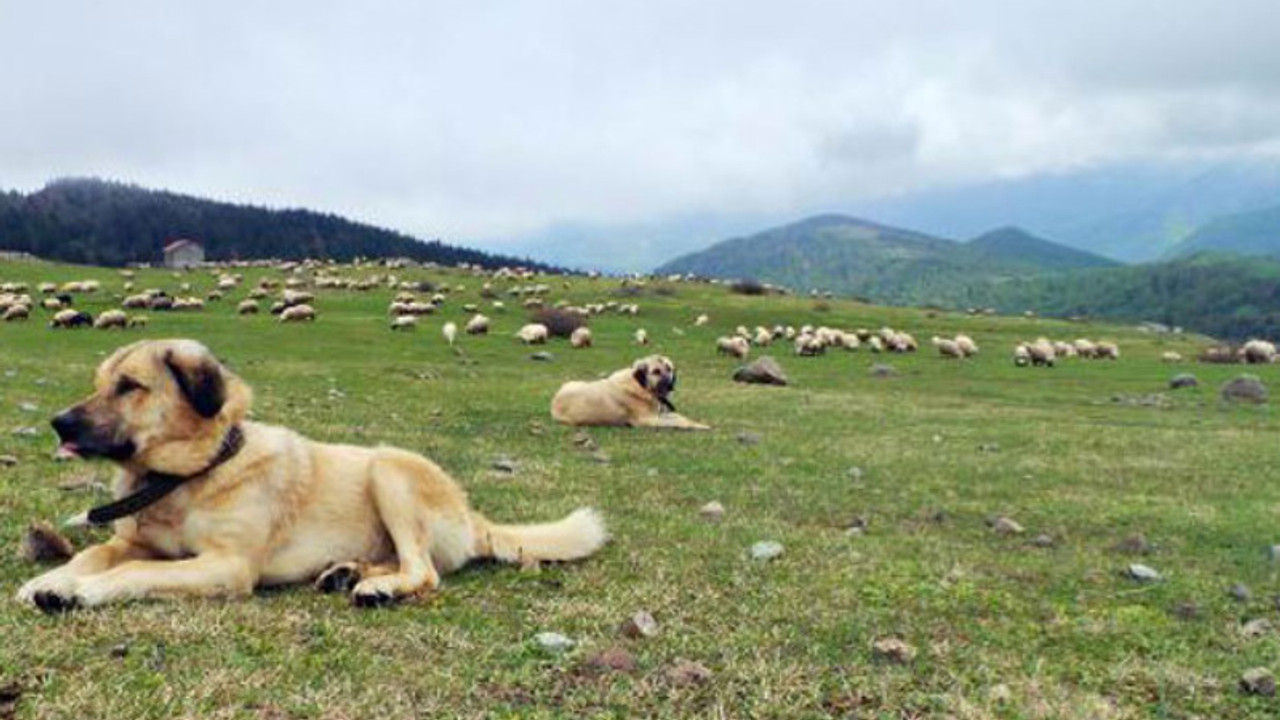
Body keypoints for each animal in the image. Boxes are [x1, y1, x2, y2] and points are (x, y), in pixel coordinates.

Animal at [15, 338, 604, 607]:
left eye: (130, 386)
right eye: (99, 383)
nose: (57, 422)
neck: (184, 481)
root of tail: (471, 513)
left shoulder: (228, 566)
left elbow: (132, 571)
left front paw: (77, 592)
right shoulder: (136, 541)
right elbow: (95, 553)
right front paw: (50, 579)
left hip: (388, 467)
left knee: (424, 571)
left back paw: (376, 587)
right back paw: (349, 572)